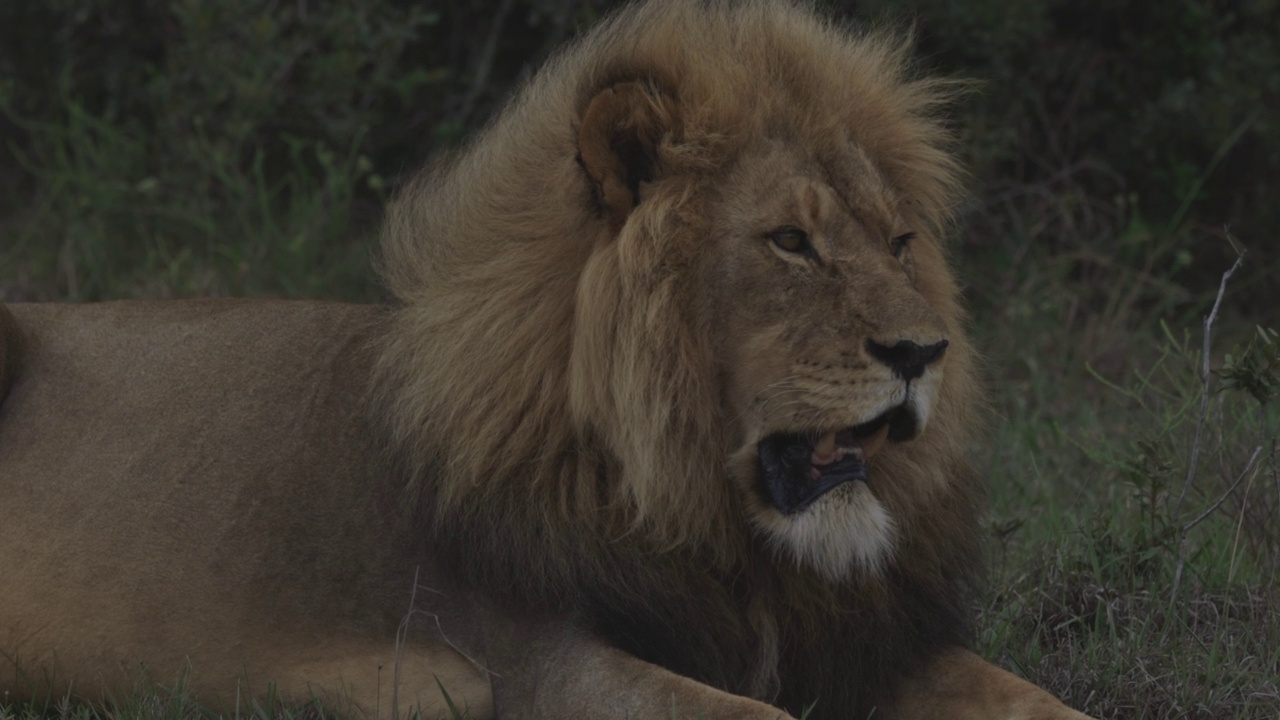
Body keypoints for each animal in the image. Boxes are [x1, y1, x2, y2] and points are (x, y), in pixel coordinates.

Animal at [2, 4, 1090, 717]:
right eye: (790, 242)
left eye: (900, 243)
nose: (922, 352)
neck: (729, 534)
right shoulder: (530, 660)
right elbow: (756, 714)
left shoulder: (858, 646)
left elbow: (1040, 703)